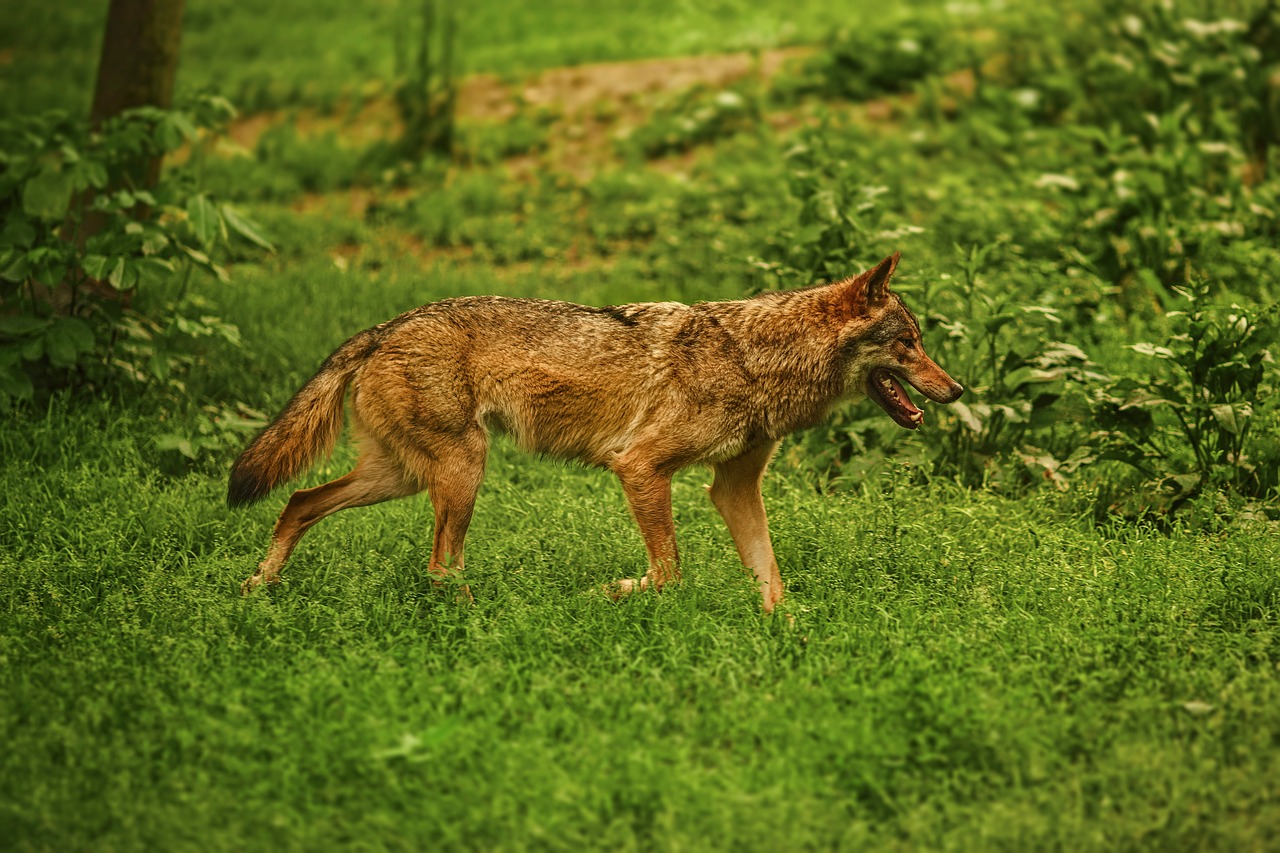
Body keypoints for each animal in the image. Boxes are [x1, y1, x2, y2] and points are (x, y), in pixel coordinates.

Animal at [227, 252, 962, 612]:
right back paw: (484, 617)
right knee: (439, 566)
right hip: (461, 472)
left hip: (404, 477)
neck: (754, 360)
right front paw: (608, 594)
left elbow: (771, 580)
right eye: (909, 344)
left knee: (299, 503)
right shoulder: (639, 466)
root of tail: (386, 326)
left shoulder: (733, 489)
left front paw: (788, 639)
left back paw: (256, 591)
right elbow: (668, 574)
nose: (957, 391)